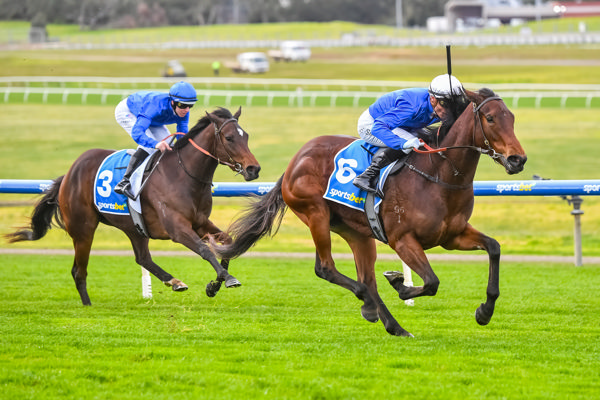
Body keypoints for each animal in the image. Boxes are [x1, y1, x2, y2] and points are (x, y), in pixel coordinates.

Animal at [6, 106, 260, 306]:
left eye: (246, 136)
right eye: (229, 137)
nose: (253, 169)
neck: (183, 174)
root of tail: (68, 174)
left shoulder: (199, 221)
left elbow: (226, 243)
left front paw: (214, 285)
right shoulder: (177, 228)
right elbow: (205, 249)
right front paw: (228, 279)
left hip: (134, 227)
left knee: (142, 258)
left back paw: (174, 281)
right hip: (83, 229)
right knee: (79, 270)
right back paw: (88, 305)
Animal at [214, 88, 524, 338]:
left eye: (511, 118)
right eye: (491, 119)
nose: (518, 159)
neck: (438, 174)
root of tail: (294, 161)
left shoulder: (452, 236)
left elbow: (494, 248)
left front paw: (484, 311)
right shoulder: (403, 239)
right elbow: (432, 282)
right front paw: (401, 285)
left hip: (356, 232)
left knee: (367, 280)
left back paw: (391, 324)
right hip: (316, 215)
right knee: (327, 269)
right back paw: (372, 307)